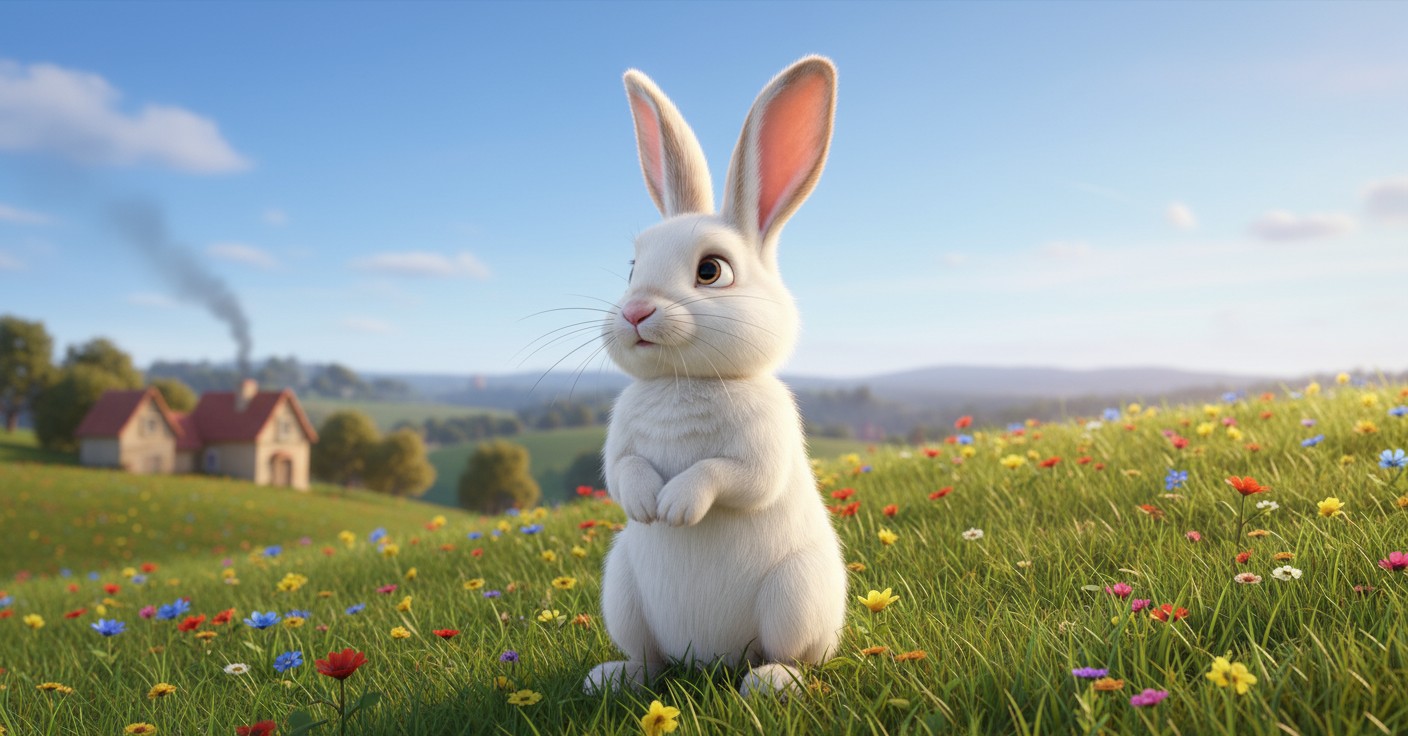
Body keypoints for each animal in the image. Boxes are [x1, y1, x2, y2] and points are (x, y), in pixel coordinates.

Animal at [582, 55, 847, 699]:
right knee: (649, 658)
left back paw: (770, 682)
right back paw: (612, 677)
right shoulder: (619, 445)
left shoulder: (762, 450)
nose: (635, 312)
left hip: (793, 595)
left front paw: (676, 507)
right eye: (633, 267)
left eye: (711, 270)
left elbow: (730, 476)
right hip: (621, 588)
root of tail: (707, 658)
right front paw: (646, 503)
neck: (684, 380)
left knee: (792, 655)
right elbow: (622, 472)